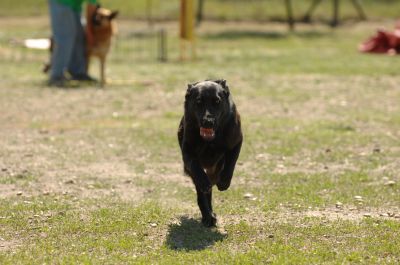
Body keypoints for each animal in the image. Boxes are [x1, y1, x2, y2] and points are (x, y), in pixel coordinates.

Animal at [179, 79, 244, 226]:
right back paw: (208, 216)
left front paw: (224, 182)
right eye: (198, 102)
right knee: (202, 192)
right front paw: (204, 182)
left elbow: (231, 164)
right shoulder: (188, 151)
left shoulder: (236, 142)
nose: (208, 122)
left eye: (217, 101)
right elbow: (195, 166)